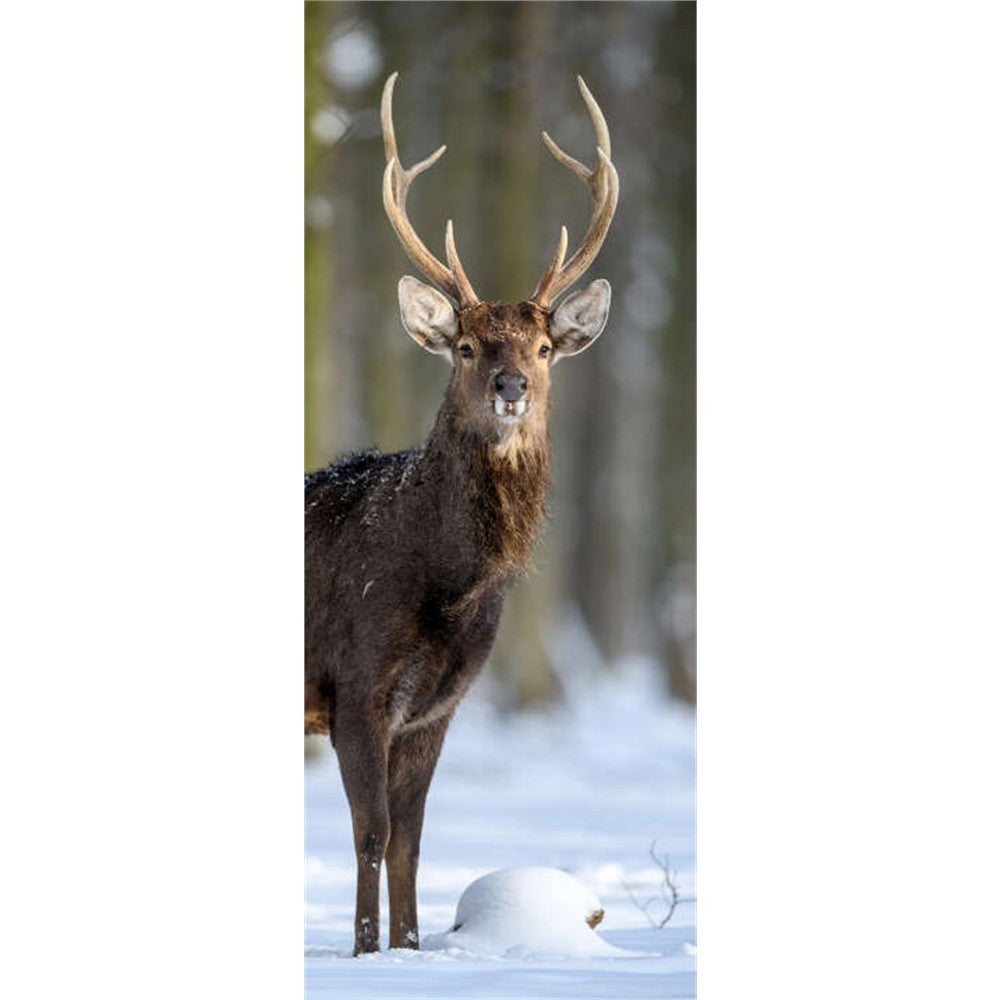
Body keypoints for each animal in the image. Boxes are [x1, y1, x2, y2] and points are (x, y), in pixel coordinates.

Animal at [305, 71, 620, 956]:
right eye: (467, 347)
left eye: (543, 348)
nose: (511, 387)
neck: (444, 588)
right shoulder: (355, 683)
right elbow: (370, 833)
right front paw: (364, 952)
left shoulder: (439, 705)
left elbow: (412, 840)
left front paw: (411, 950)